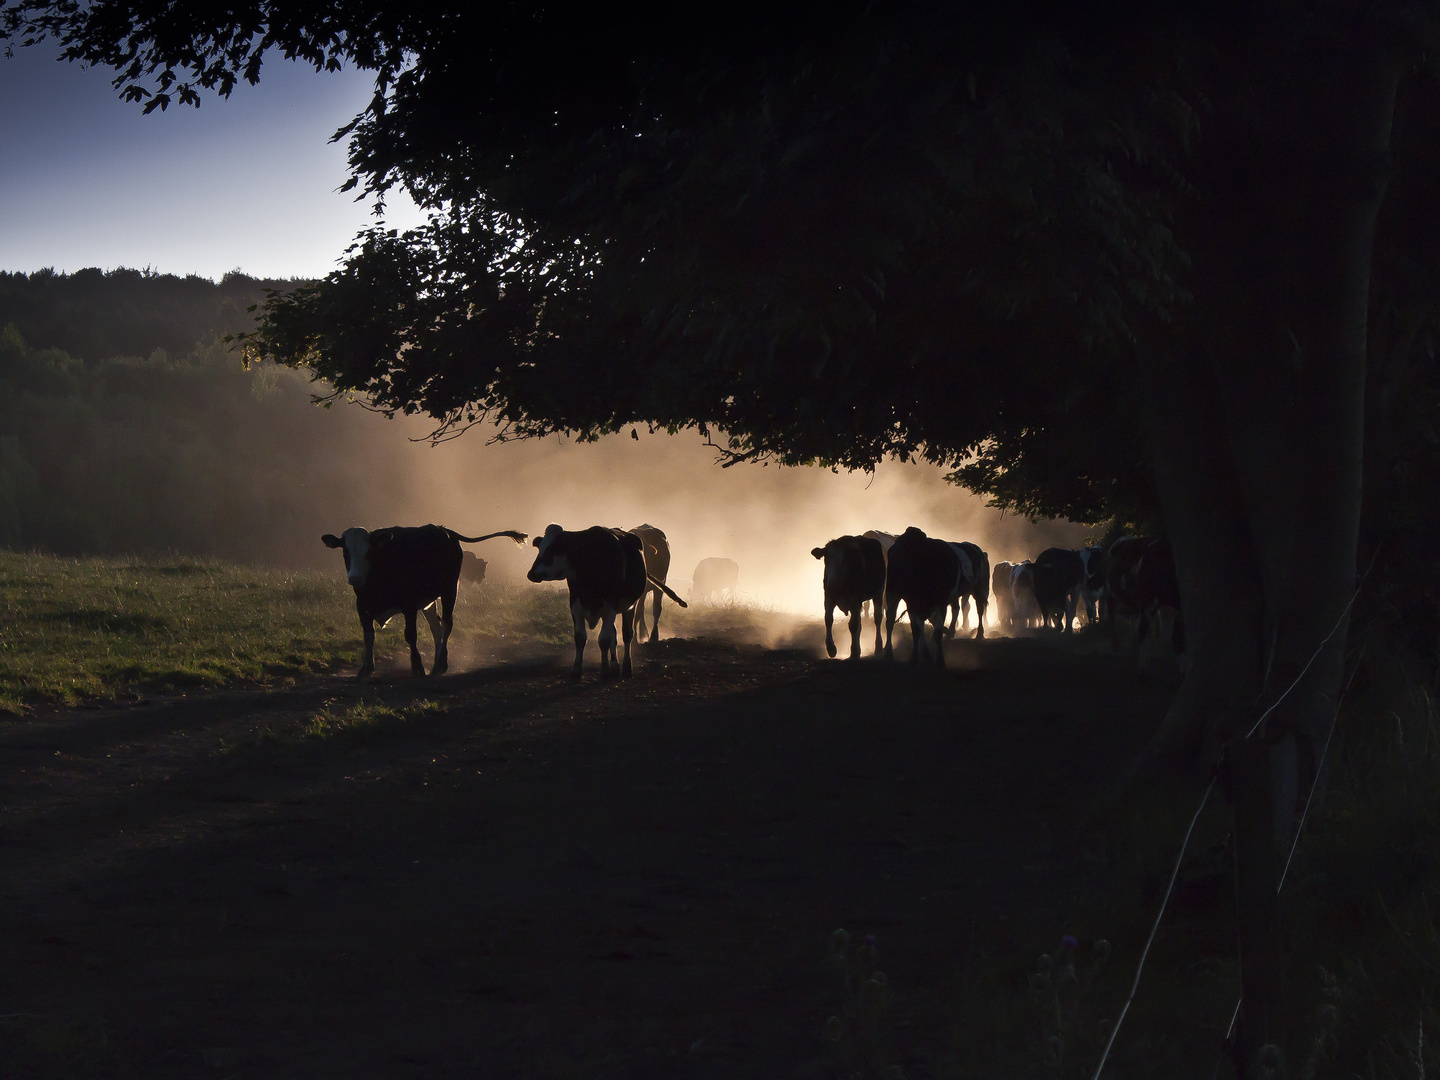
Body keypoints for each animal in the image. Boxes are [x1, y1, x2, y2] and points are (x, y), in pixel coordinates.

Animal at [322, 524, 529, 676]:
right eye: (345, 553)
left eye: (369, 552)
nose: (355, 578)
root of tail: (443, 529)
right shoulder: (362, 606)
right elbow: (368, 634)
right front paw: (366, 666)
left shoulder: (409, 605)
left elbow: (410, 634)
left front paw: (417, 666)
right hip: (429, 600)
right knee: (436, 627)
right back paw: (438, 661)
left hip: (450, 590)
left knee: (447, 624)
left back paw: (440, 663)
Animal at [881, 527, 961, 668]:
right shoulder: (913, 603)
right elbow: (917, 630)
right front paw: (915, 658)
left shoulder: (938, 604)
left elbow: (932, 631)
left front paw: (936, 658)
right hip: (893, 593)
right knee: (890, 621)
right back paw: (889, 652)